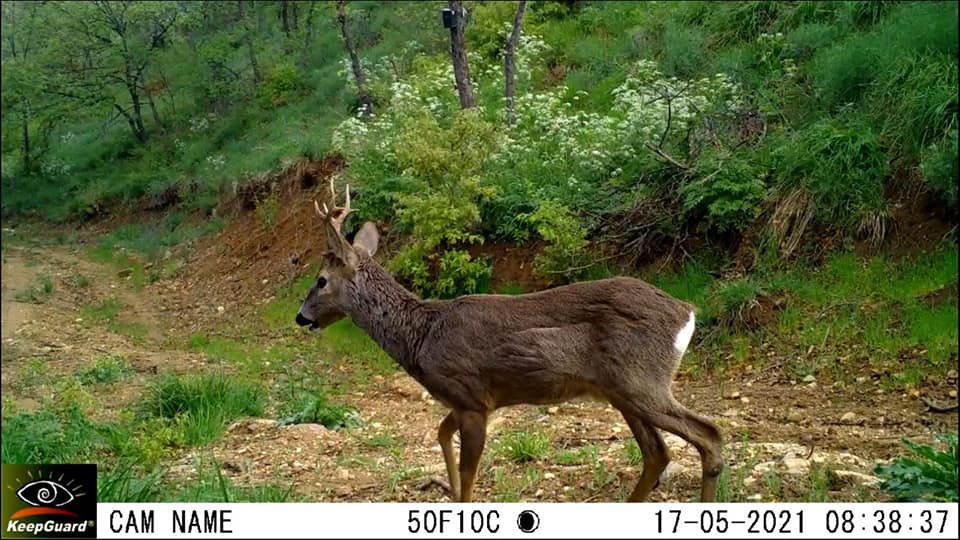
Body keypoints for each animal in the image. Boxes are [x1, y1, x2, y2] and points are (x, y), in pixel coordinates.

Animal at [296, 180, 724, 502]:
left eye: (321, 280)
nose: (301, 316)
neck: (421, 335)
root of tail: (686, 311)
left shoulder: (470, 397)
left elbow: (470, 473)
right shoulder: (468, 400)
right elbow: (441, 433)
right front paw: (446, 488)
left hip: (642, 381)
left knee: (708, 436)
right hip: (621, 390)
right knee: (658, 453)